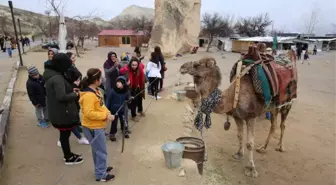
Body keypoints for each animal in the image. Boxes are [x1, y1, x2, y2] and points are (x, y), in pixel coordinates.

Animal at [178, 45, 296, 177]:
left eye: (197, 64)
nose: (182, 67)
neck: (235, 95)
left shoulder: (251, 116)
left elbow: (250, 143)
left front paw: (251, 168)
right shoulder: (237, 116)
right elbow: (240, 135)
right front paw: (239, 154)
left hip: (288, 103)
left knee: (283, 125)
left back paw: (280, 147)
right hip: (273, 107)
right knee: (274, 125)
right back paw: (262, 148)